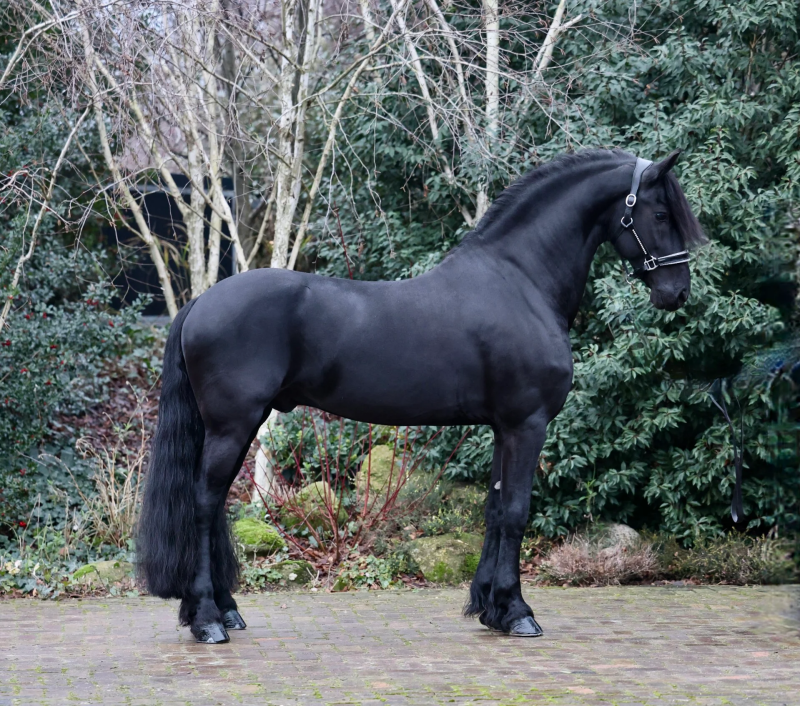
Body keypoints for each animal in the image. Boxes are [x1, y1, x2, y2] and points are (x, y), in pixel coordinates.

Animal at [137, 148, 705, 643]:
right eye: (659, 212)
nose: (676, 292)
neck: (520, 282)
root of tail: (201, 303)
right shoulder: (527, 423)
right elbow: (517, 510)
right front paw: (518, 612)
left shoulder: (503, 427)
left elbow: (495, 509)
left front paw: (490, 609)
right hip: (234, 425)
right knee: (204, 504)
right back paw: (207, 620)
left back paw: (222, 611)